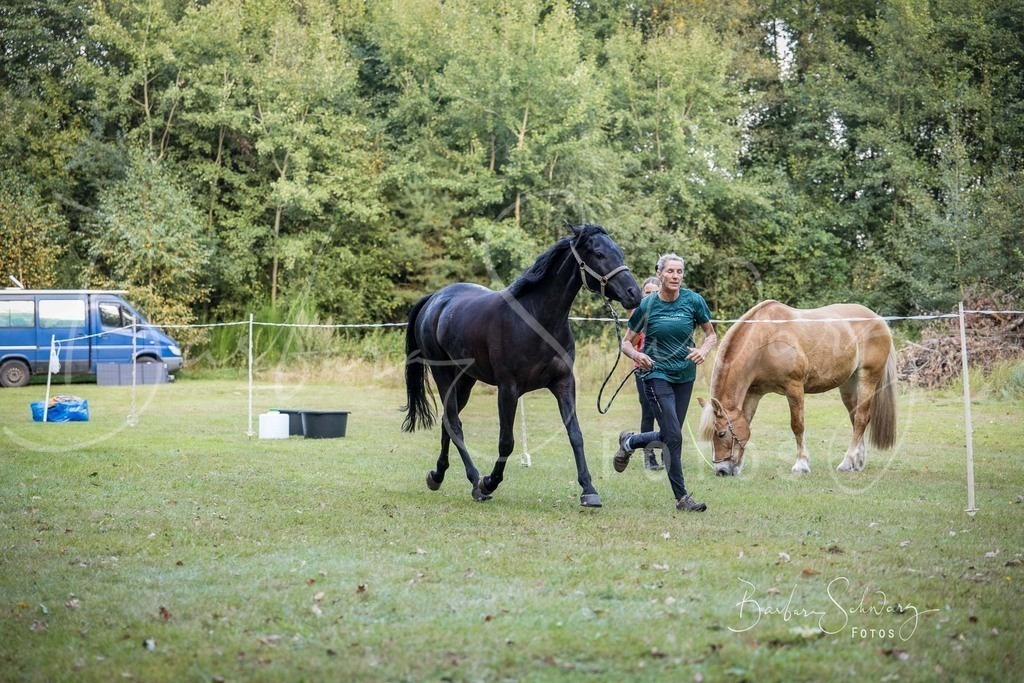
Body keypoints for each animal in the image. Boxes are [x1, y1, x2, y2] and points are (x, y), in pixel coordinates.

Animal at [402, 224, 641, 507]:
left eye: (619, 252)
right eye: (599, 254)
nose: (634, 294)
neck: (538, 320)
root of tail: (434, 300)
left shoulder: (563, 383)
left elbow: (575, 434)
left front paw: (589, 490)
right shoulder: (508, 389)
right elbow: (506, 442)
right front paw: (489, 481)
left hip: (466, 381)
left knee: (446, 422)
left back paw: (437, 475)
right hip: (444, 376)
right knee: (453, 423)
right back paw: (475, 482)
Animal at [696, 300, 897, 476]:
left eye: (721, 433)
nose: (721, 471)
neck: (766, 339)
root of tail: (879, 320)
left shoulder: (794, 387)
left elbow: (797, 425)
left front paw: (801, 465)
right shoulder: (754, 392)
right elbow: (746, 422)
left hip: (867, 378)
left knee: (862, 418)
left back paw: (847, 462)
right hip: (848, 385)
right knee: (855, 419)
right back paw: (857, 462)